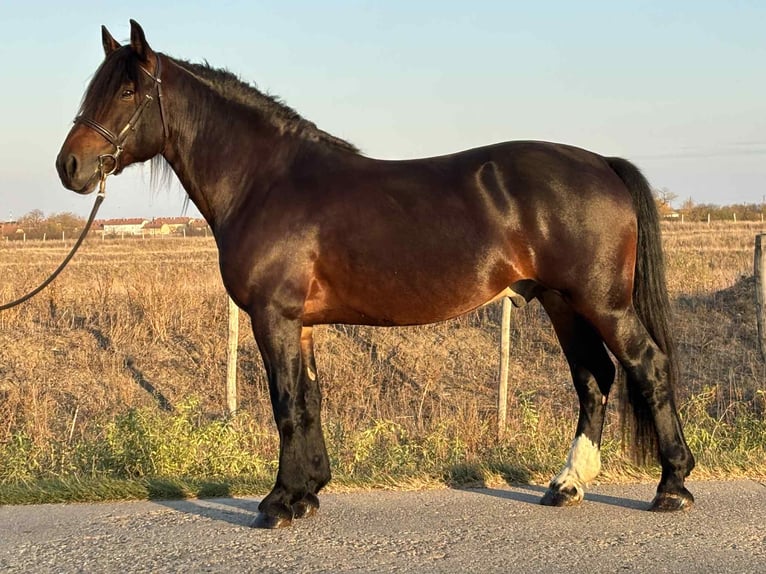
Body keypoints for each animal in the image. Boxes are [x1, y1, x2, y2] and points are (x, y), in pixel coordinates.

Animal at [56, 20, 695, 528]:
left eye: (128, 90)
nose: (71, 166)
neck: (266, 181)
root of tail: (602, 163)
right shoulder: (301, 324)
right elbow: (309, 401)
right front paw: (308, 492)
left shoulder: (273, 317)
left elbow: (285, 404)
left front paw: (279, 503)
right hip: (563, 303)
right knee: (594, 380)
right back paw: (567, 485)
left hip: (601, 303)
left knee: (647, 366)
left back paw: (672, 486)